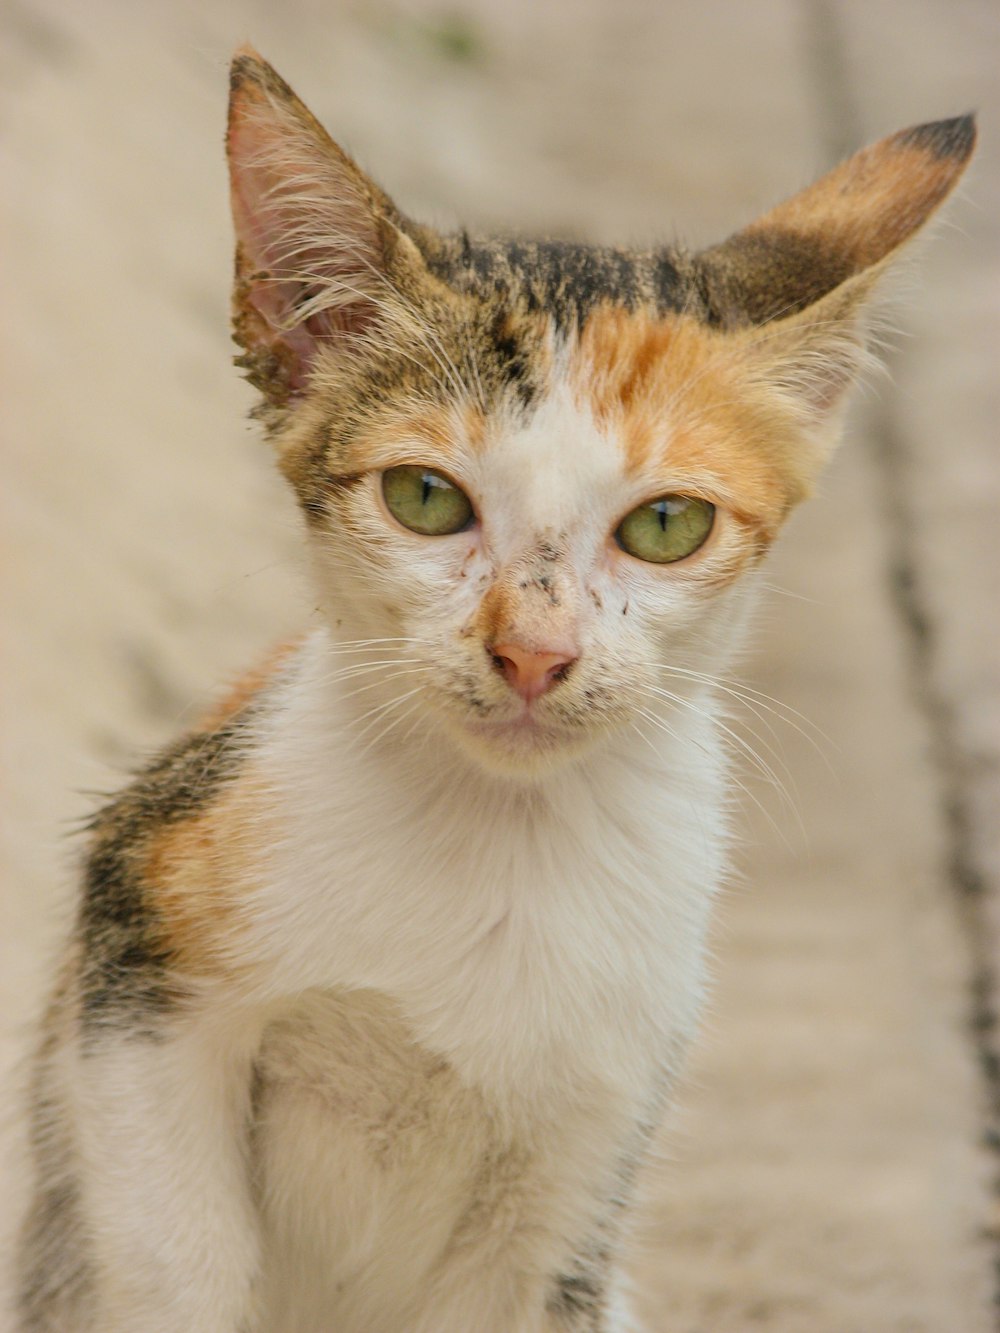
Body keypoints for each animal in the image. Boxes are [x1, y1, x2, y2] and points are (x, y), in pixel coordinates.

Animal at [17, 41, 981, 1333]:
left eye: (666, 526)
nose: (533, 651)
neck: (499, 839)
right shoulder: (140, 955)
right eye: (425, 498)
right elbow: (176, 1261)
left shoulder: (585, 1152)